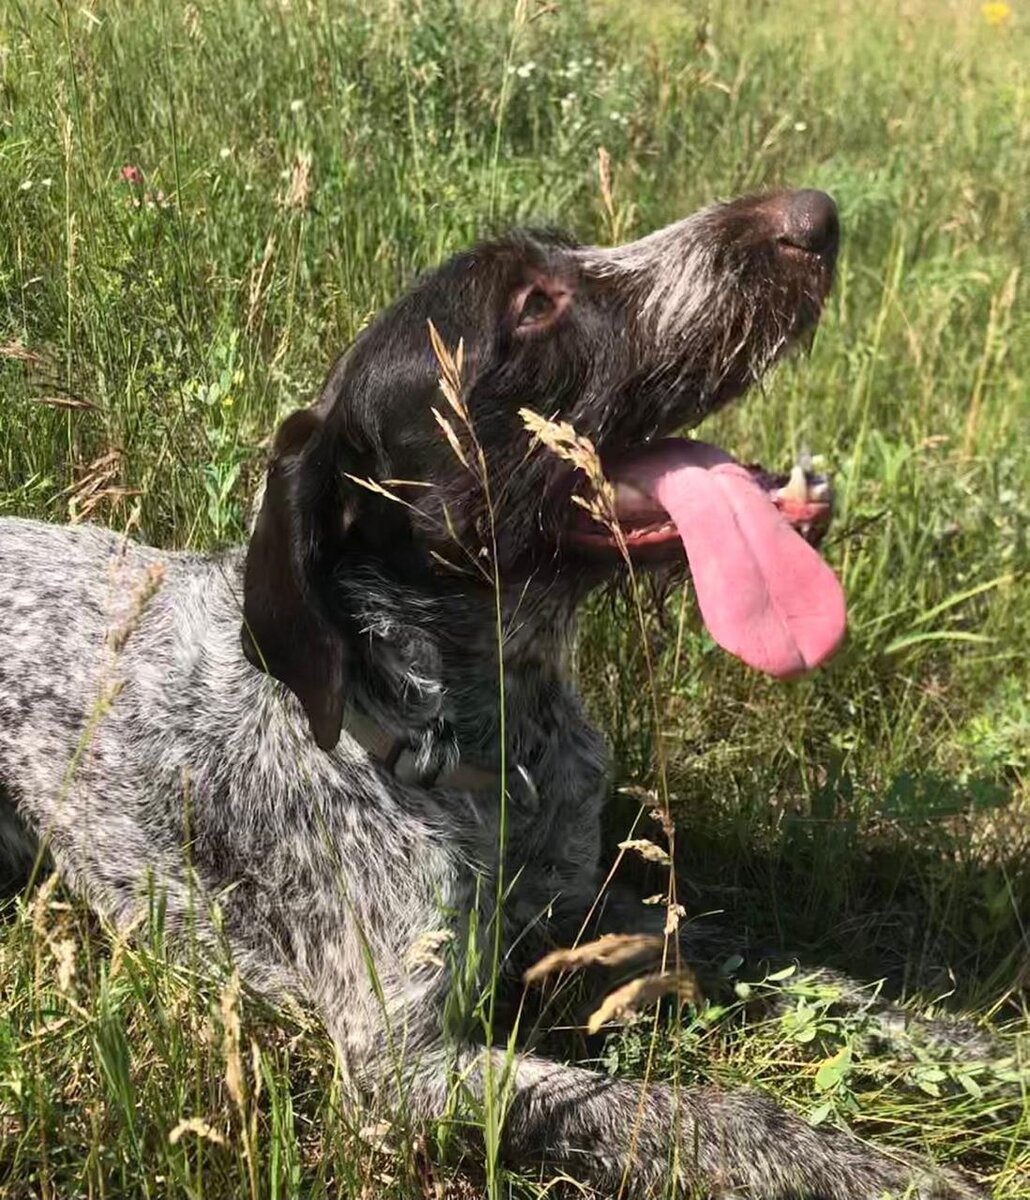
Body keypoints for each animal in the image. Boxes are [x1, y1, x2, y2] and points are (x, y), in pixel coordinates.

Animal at [0, 192, 979, 1195]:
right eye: (532, 305)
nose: (813, 216)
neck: (480, 733)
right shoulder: (405, 1069)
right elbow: (694, 1113)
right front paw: (875, 1168)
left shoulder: (581, 911)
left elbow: (782, 965)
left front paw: (954, 1036)